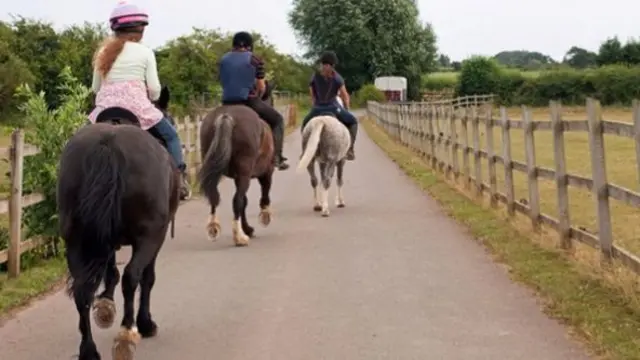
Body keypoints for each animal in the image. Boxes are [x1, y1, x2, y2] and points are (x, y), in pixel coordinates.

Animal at [57, 86, 180, 360]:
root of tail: (108, 146)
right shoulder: (155, 237)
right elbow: (147, 277)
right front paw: (145, 323)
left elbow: (110, 271)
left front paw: (105, 306)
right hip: (149, 236)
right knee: (132, 277)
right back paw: (127, 334)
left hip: (76, 239)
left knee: (82, 289)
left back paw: (89, 350)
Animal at [198, 104, 272, 245]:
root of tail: (226, 116)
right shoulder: (266, 172)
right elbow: (264, 192)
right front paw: (265, 216)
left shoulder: (238, 178)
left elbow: (245, 201)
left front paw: (247, 228)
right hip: (245, 173)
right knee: (237, 200)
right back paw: (239, 237)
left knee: (214, 198)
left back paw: (213, 227)